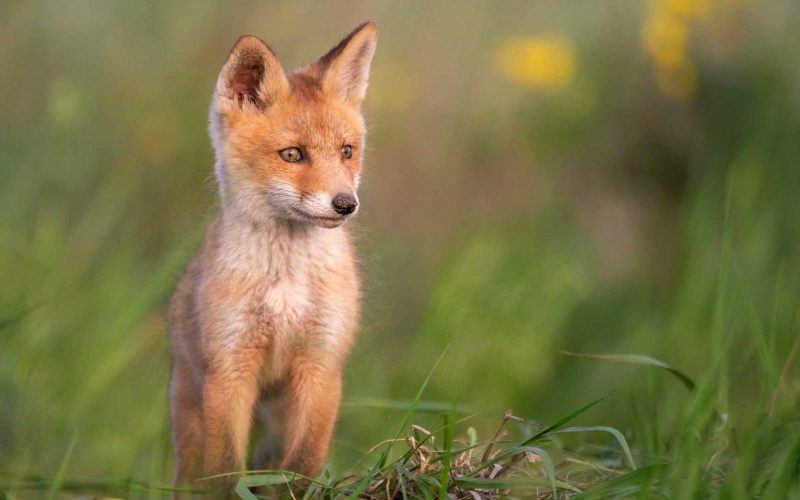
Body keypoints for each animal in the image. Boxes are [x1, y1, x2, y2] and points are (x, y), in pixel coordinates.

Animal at [167, 22, 377, 493]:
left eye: (346, 151)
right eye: (292, 154)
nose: (346, 204)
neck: (286, 286)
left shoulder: (321, 366)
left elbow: (301, 466)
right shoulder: (230, 369)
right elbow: (225, 473)